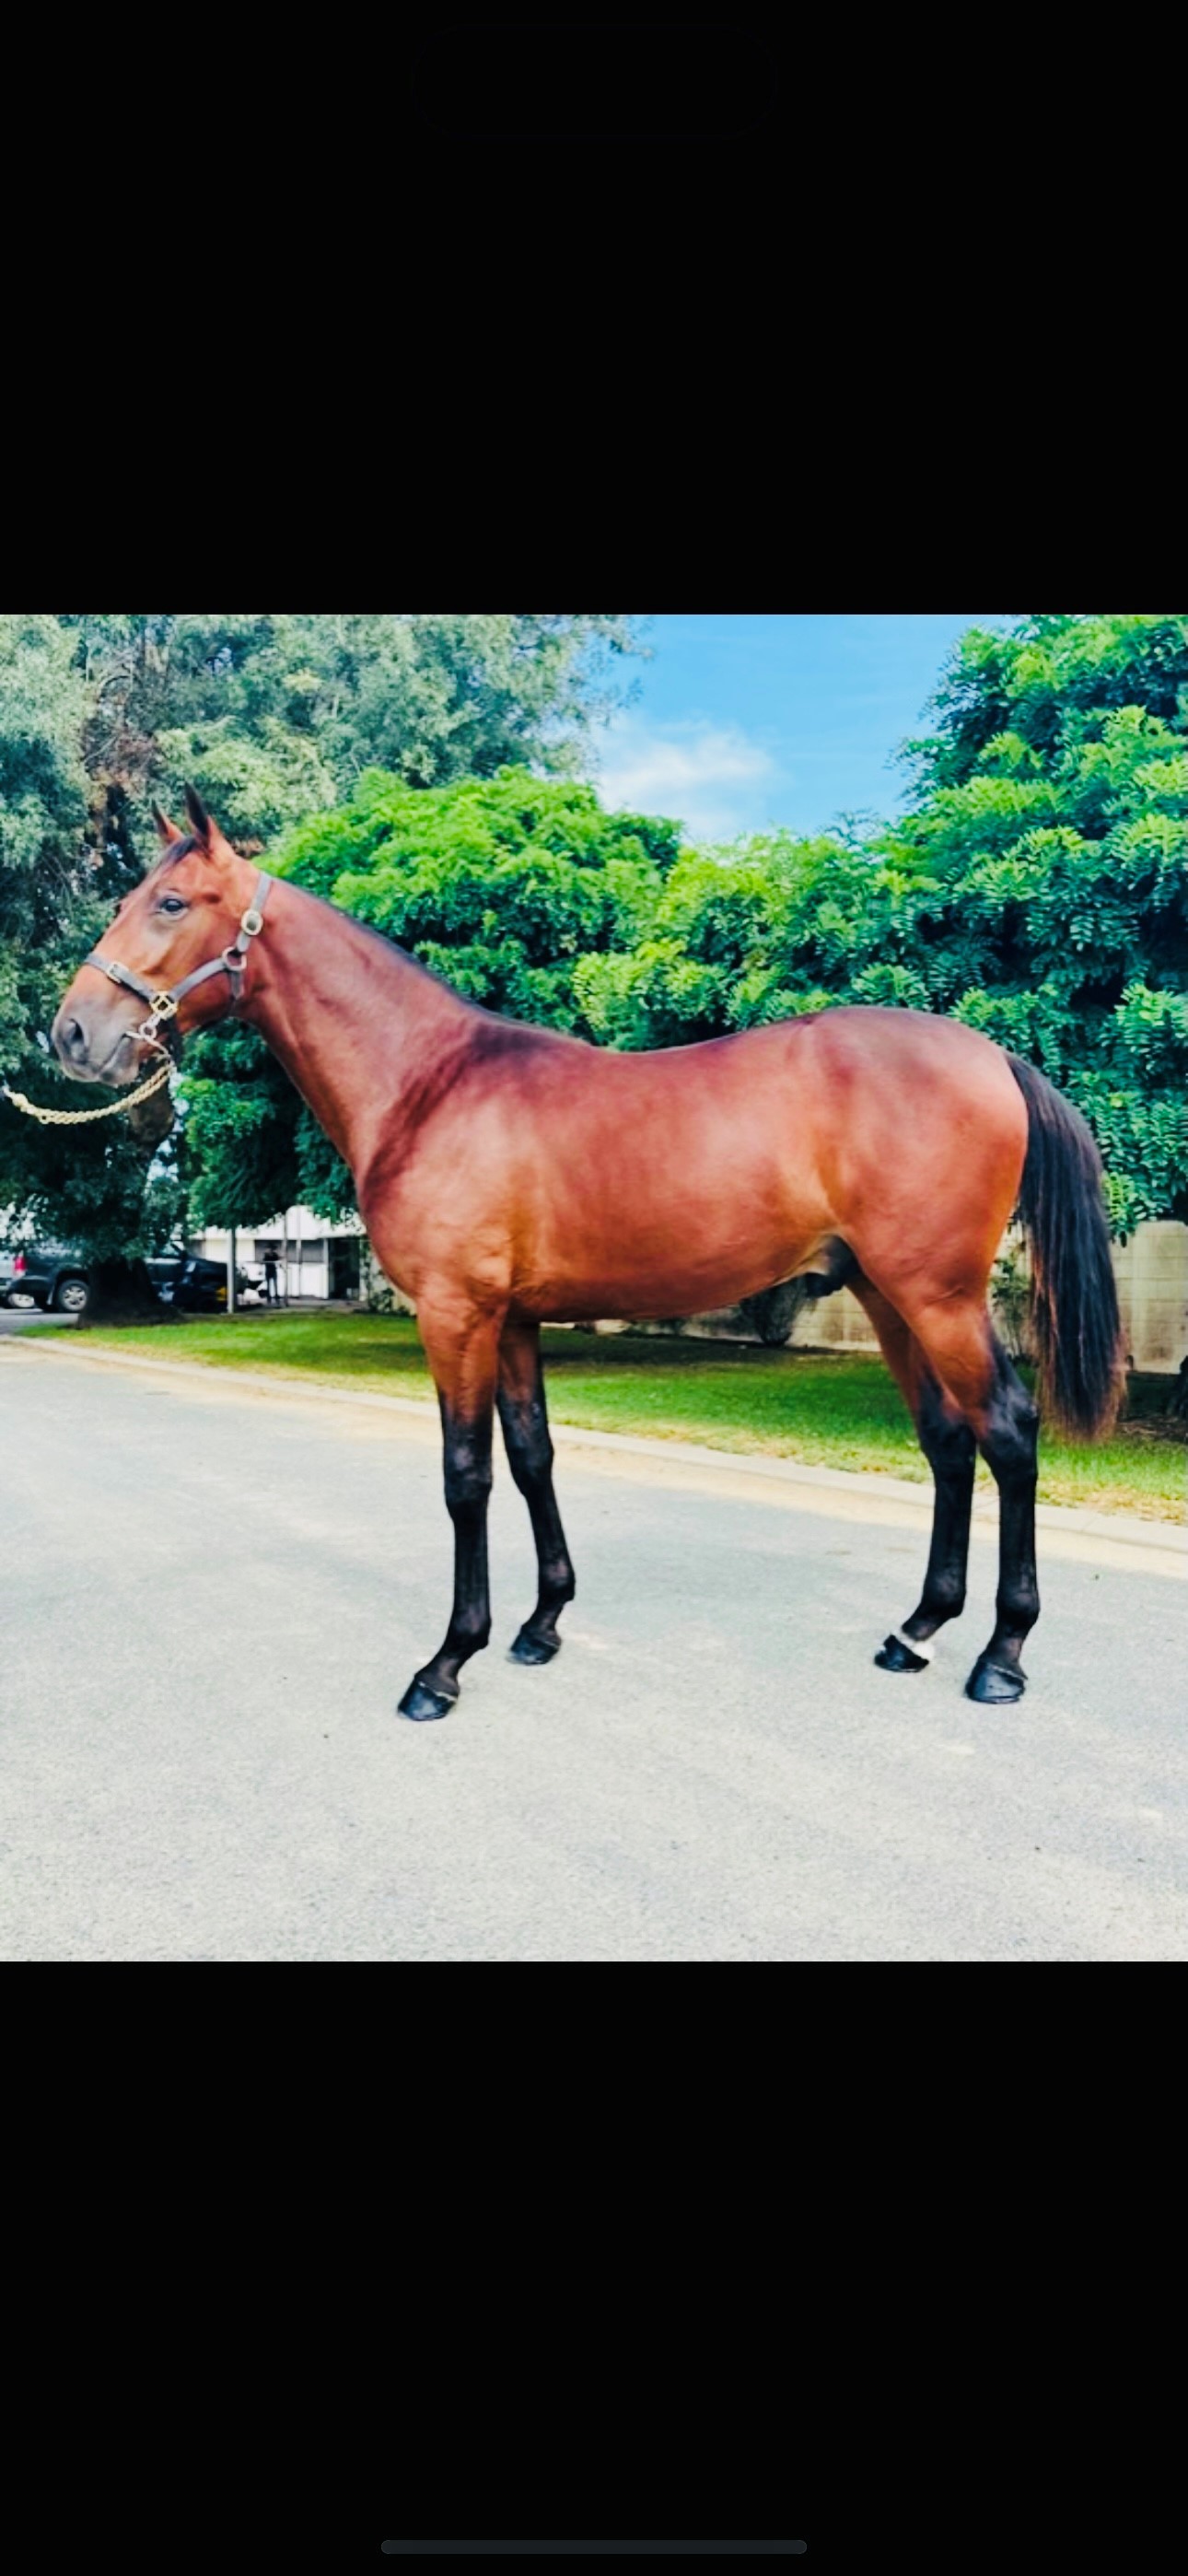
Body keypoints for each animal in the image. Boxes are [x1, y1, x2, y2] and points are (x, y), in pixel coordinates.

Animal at [51, 785, 1125, 1721]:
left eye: (170, 903)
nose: (70, 1034)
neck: (429, 1083)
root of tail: (992, 1056)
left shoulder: (457, 1316)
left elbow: (467, 1476)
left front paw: (447, 1663)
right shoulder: (514, 1320)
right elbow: (533, 1459)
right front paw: (541, 1624)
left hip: (938, 1298)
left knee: (1007, 1432)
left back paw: (1001, 1656)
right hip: (891, 1297)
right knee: (947, 1442)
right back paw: (917, 1631)